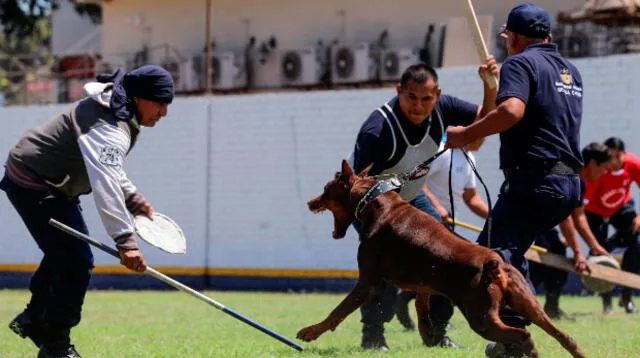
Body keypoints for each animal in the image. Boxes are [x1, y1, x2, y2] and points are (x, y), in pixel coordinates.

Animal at [298, 161, 588, 356]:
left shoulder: (368, 282)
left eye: (326, 190)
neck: (375, 203)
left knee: (524, 335)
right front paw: (428, 335)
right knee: (562, 335)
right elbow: (421, 306)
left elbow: (338, 311)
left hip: (480, 316)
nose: (310, 203)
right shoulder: (423, 283)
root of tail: (496, 266)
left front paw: (310, 331)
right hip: (527, 303)